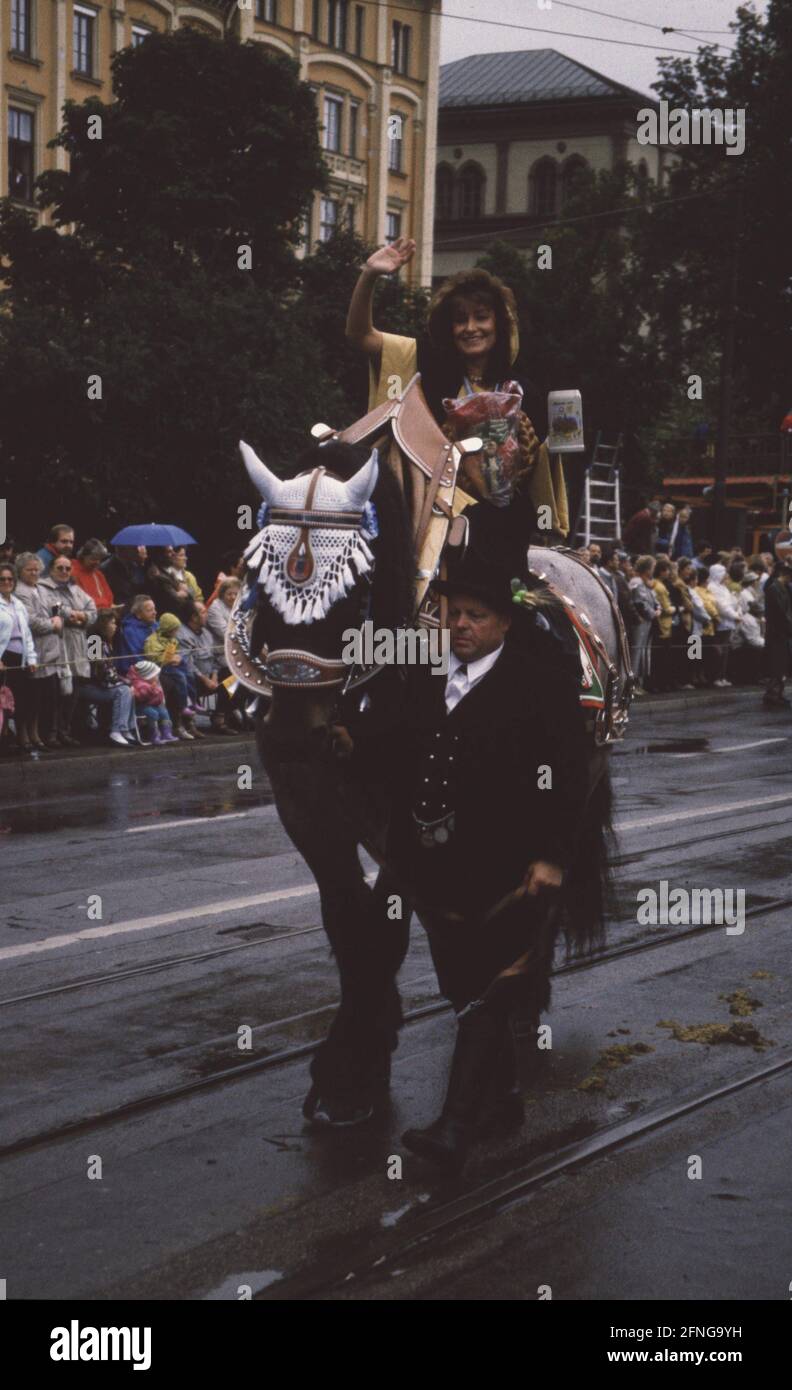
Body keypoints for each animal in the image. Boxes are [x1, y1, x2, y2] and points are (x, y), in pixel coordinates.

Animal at [226, 380, 628, 1128]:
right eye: (257, 581)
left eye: (354, 588)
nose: (296, 734)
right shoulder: (308, 810)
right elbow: (348, 923)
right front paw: (358, 1052)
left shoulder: (408, 811)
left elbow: (383, 926)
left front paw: (352, 1071)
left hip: (570, 783)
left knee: (544, 880)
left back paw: (518, 1003)